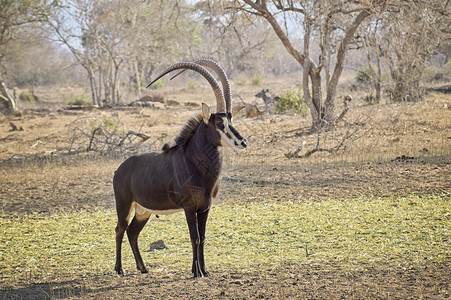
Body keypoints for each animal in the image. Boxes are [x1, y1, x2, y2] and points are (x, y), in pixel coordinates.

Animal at [113, 59, 247, 278]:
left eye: (231, 120)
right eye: (219, 122)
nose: (243, 141)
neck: (194, 164)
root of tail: (119, 170)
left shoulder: (205, 207)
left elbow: (203, 237)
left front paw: (203, 270)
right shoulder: (189, 207)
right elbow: (195, 237)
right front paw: (197, 272)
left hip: (143, 211)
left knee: (132, 232)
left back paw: (143, 267)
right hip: (124, 205)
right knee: (120, 229)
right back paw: (119, 269)